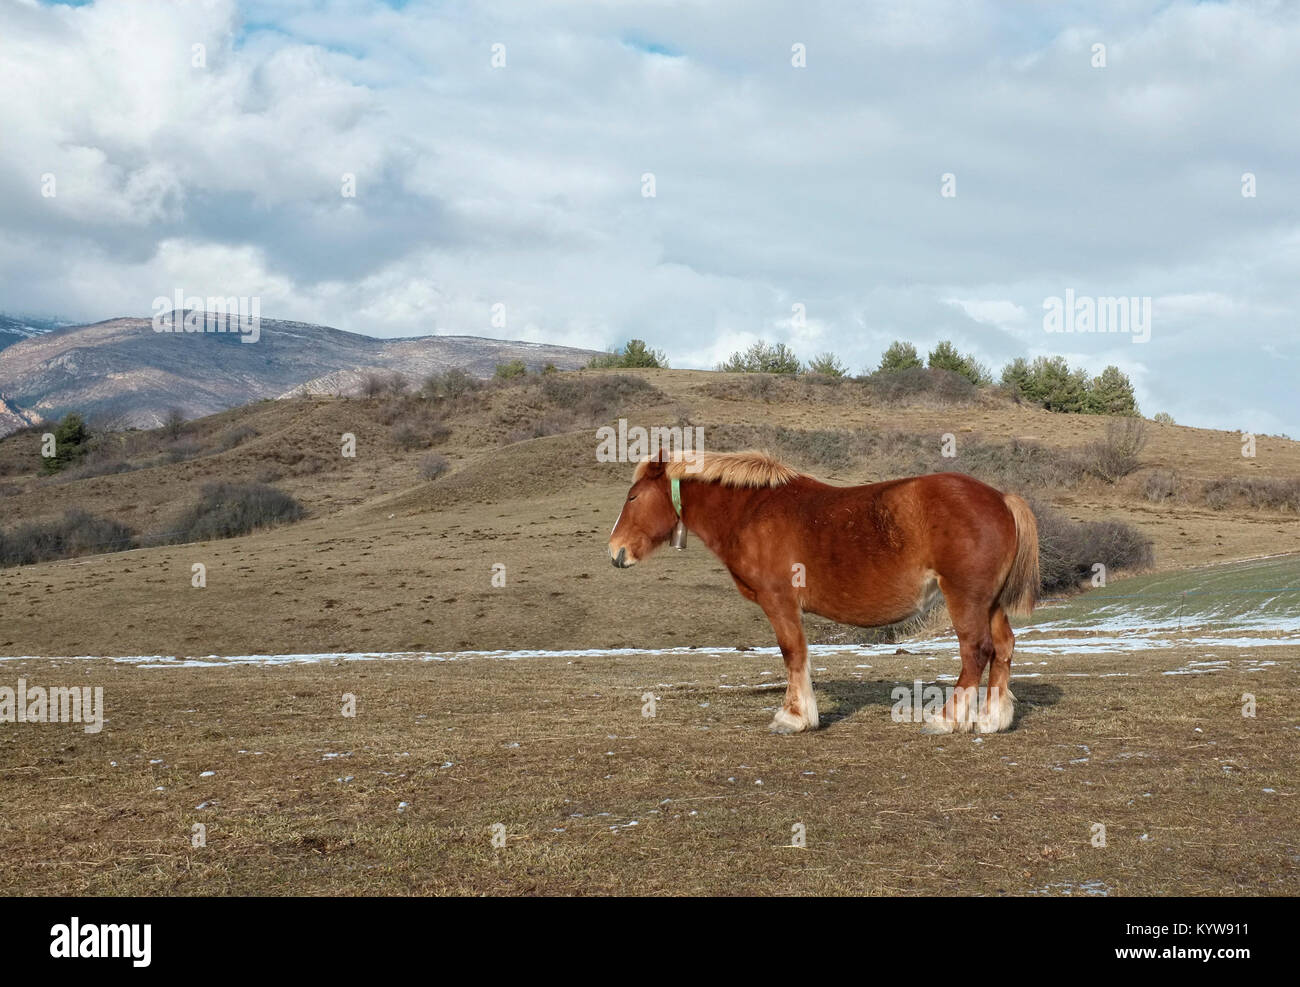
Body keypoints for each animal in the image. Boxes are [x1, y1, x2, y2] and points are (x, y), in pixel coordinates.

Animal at [603, 452, 1040, 738]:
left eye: (632, 497)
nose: (615, 551)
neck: (752, 511)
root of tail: (1002, 499)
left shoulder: (779, 601)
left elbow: (793, 653)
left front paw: (793, 717)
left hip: (965, 599)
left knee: (976, 651)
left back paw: (947, 719)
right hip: (990, 603)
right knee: (1003, 647)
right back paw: (992, 719)